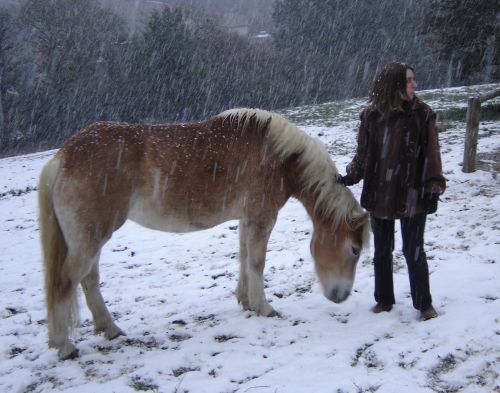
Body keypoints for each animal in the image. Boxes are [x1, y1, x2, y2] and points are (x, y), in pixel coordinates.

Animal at [39, 107, 370, 358]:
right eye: (354, 249)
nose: (341, 296)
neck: (277, 156)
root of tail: (62, 157)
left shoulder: (248, 220)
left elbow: (244, 258)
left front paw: (246, 301)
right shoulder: (262, 218)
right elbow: (256, 262)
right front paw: (265, 308)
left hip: (91, 239)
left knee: (89, 280)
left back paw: (109, 329)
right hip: (90, 237)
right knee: (65, 282)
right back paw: (64, 346)